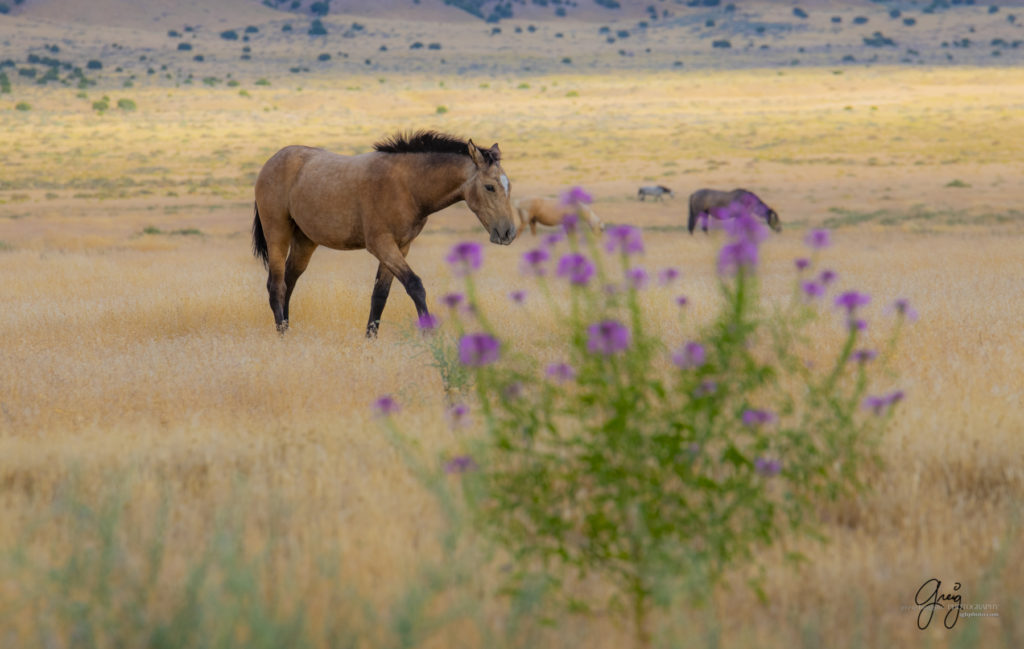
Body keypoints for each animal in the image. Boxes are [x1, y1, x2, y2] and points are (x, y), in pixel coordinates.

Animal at [251, 129, 516, 335]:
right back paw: (282, 334)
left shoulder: (400, 246)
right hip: (277, 234)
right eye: (490, 187)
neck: (406, 185)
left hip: (305, 241)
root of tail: (271, 162)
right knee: (276, 285)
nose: (508, 232)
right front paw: (430, 335)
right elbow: (415, 285)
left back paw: (287, 328)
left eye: (508, 185)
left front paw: (370, 339)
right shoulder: (381, 245)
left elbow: (380, 295)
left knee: (289, 281)